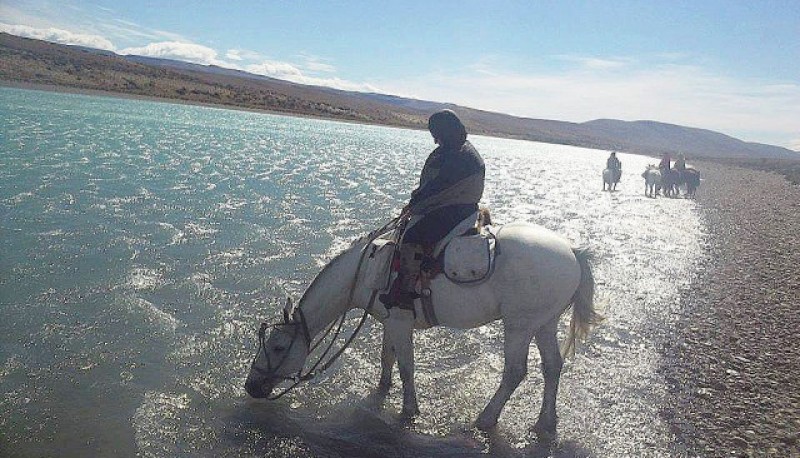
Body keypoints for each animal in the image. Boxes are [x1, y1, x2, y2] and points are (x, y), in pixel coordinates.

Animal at [244, 220, 600, 438]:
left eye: (277, 347)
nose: (251, 386)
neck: (368, 272)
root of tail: (572, 252)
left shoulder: (401, 323)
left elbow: (406, 366)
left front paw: (409, 410)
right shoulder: (391, 322)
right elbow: (387, 359)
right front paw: (382, 390)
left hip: (520, 326)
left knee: (515, 372)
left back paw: (485, 419)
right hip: (544, 323)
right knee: (552, 367)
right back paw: (545, 423)